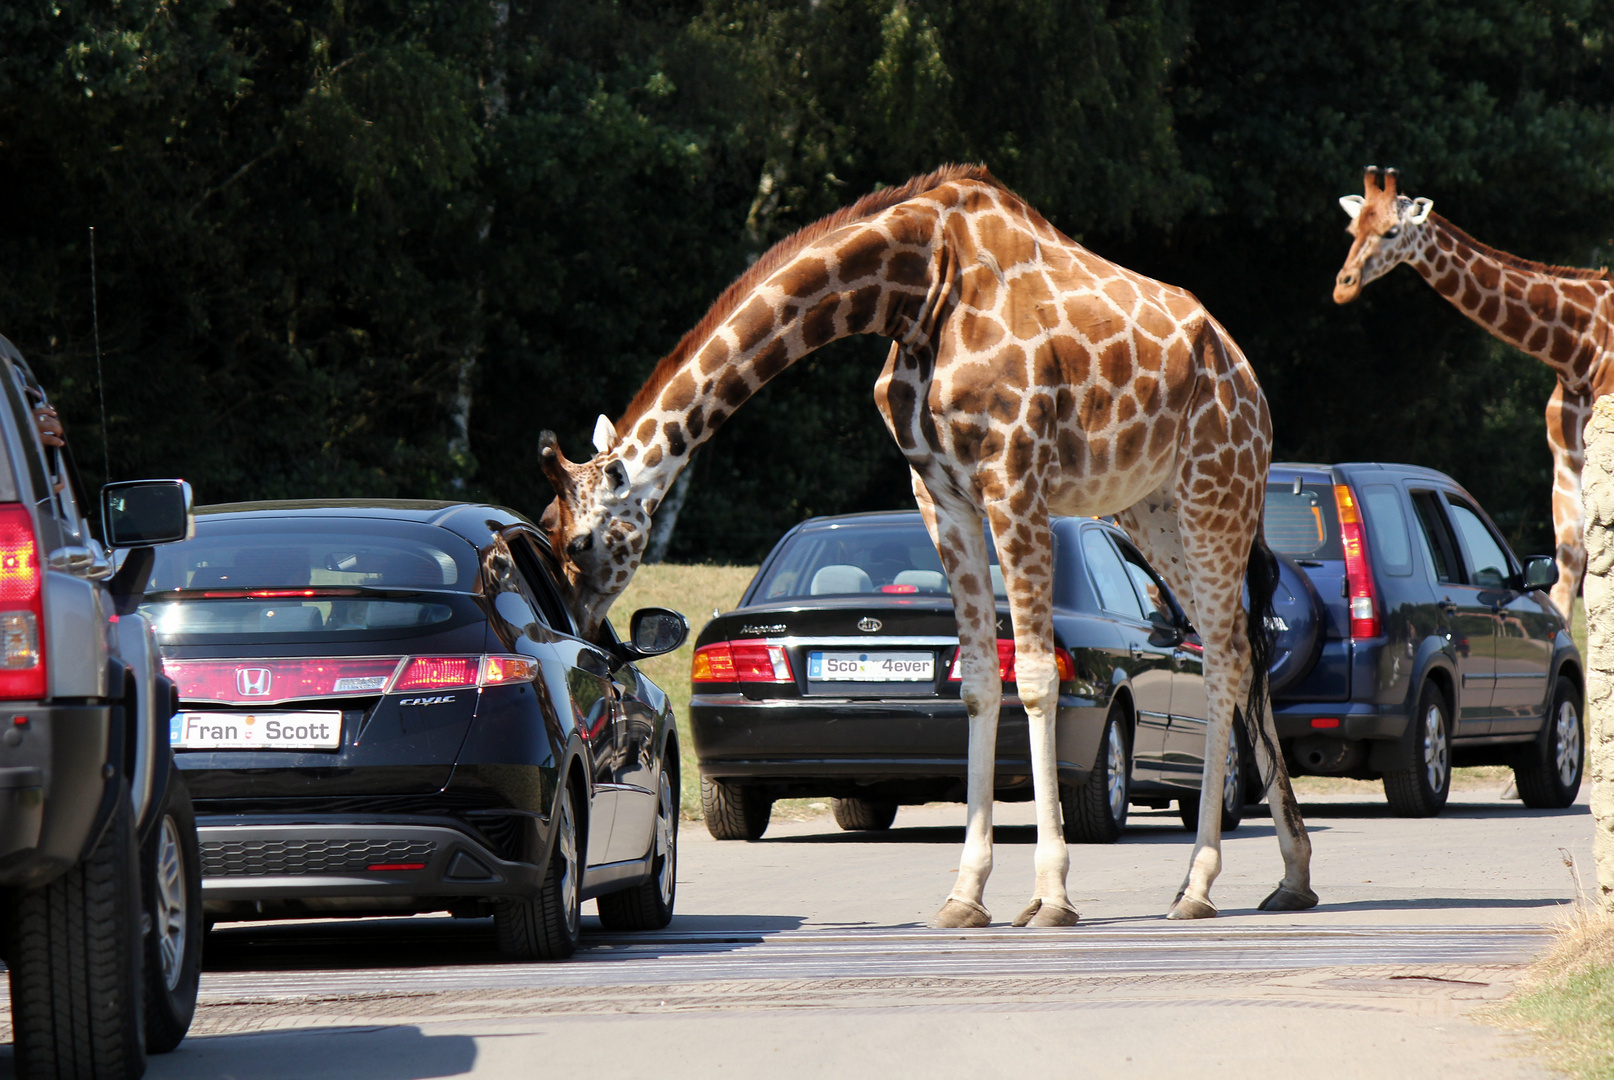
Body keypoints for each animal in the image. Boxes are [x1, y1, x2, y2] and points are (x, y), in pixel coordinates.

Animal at [535, 164, 1317, 923]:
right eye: (547, 531)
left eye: (579, 544)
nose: (579, 637)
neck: (913, 288)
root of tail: (1247, 377)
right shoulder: (941, 494)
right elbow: (978, 684)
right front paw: (966, 896)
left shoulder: (1014, 479)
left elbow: (1037, 679)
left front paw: (1052, 894)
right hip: (1148, 508)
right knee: (1237, 646)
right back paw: (1293, 876)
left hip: (1215, 487)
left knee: (1223, 657)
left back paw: (1199, 884)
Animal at [1329, 166, 1607, 623]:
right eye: (1354, 229)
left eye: (1391, 231)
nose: (1343, 287)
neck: (1577, 348)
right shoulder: (1567, 455)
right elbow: (1570, 555)